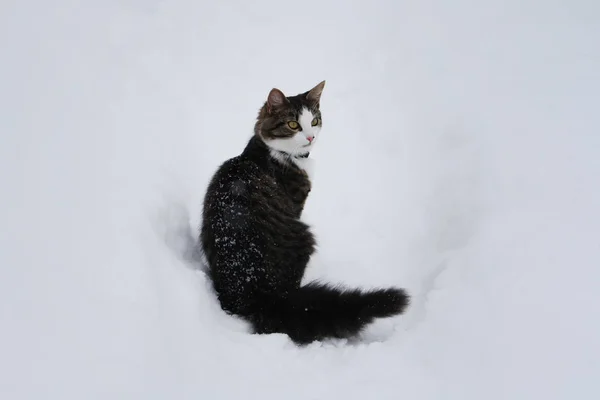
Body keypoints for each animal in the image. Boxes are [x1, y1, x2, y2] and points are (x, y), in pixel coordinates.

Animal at [199, 81, 410, 344]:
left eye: (315, 121)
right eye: (293, 124)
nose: (310, 137)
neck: (277, 154)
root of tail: (256, 292)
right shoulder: (297, 203)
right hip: (303, 237)